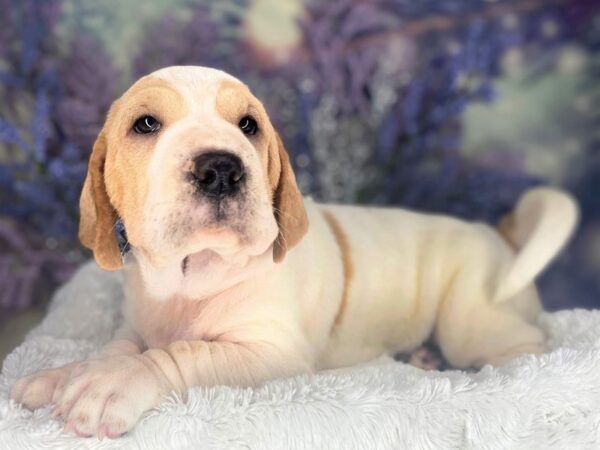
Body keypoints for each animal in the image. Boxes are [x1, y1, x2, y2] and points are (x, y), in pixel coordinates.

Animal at [9, 65, 580, 438]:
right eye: (145, 124)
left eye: (248, 125)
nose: (221, 168)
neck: (192, 275)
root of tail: (499, 234)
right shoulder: (136, 325)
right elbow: (117, 350)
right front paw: (66, 375)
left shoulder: (271, 352)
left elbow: (179, 354)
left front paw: (112, 386)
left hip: (472, 320)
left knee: (527, 347)